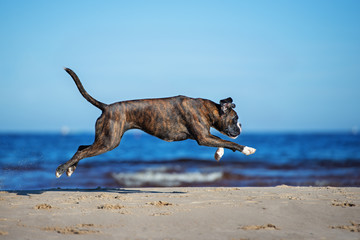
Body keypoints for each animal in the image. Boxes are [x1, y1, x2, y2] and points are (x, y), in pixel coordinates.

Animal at [55, 68, 256, 178]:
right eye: (236, 119)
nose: (240, 127)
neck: (208, 108)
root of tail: (106, 107)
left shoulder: (203, 136)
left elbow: (222, 142)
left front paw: (218, 153)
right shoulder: (203, 138)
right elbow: (229, 142)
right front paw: (247, 149)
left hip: (104, 139)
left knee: (81, 147)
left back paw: (70, 169)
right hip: (108, 142)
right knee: (82, 152)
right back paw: (61, 169)